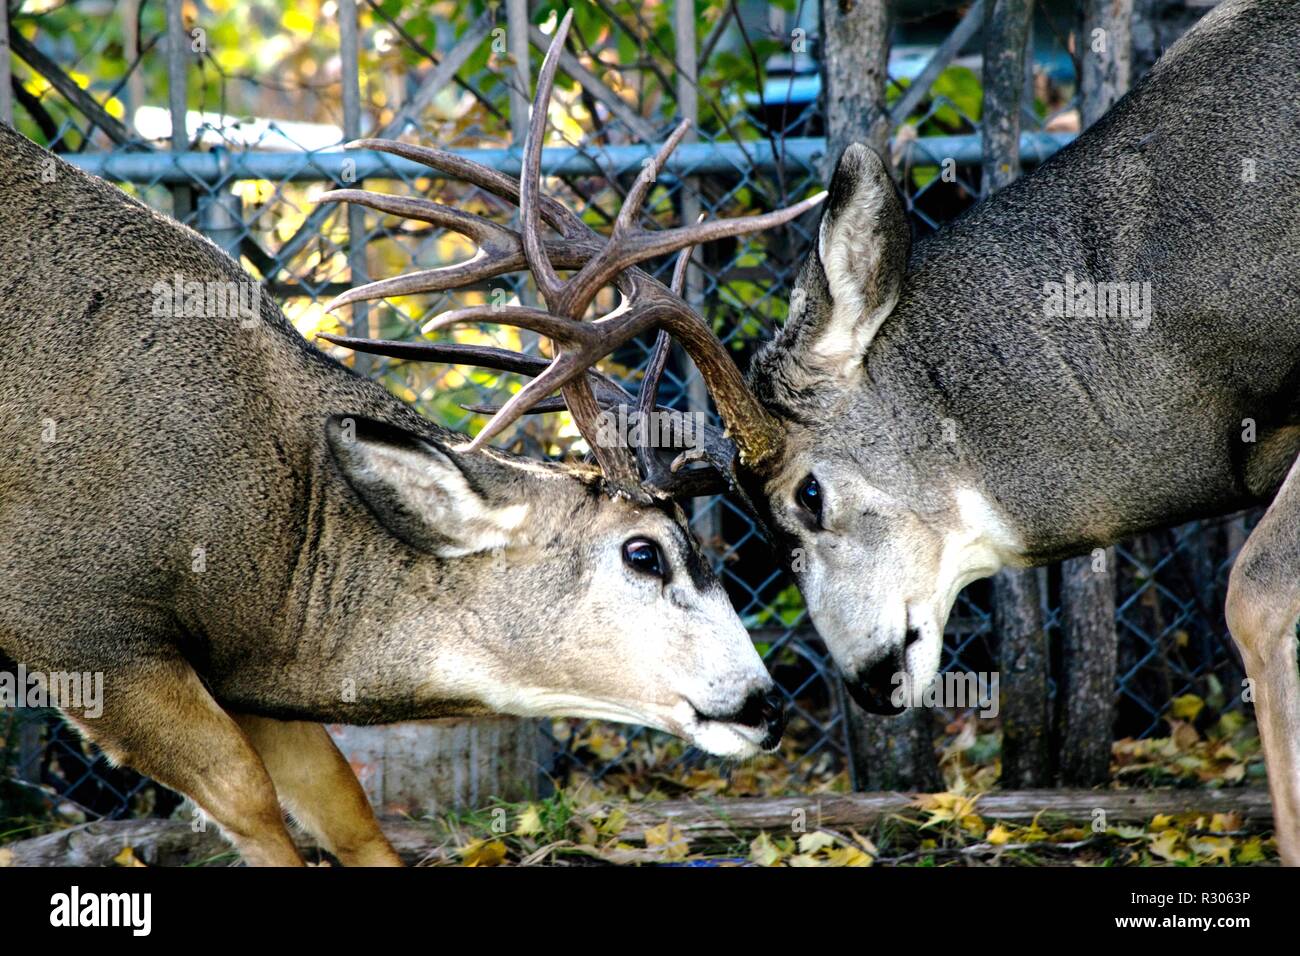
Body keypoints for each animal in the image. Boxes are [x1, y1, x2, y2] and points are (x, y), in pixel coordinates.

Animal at [0, 14, 821, 868]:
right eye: (644, 553)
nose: (764, 705)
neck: (270, 537)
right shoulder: (75, 622)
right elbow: (247, 796)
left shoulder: (236, 661)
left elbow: (342, 802)